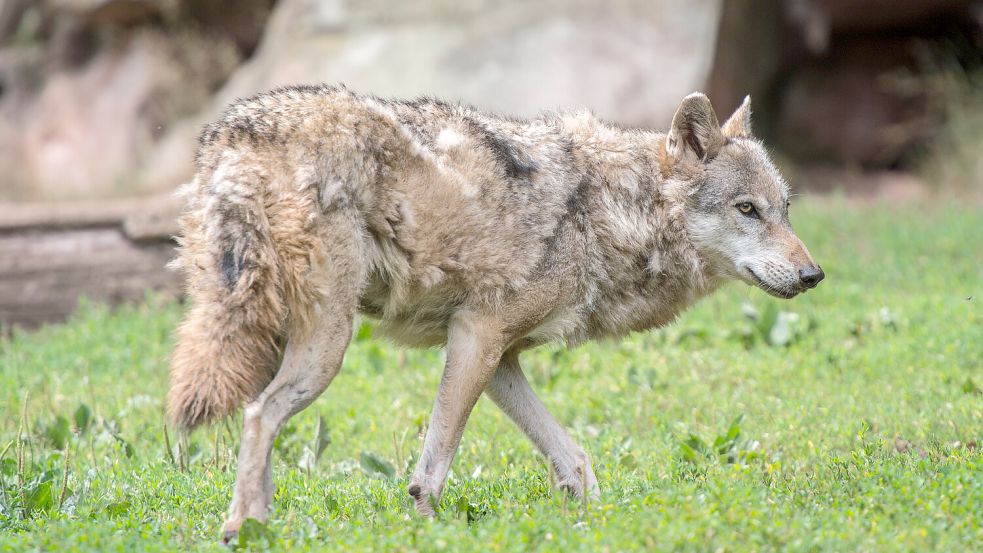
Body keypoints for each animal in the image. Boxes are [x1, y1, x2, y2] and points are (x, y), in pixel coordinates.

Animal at [167, 84, 824, 536]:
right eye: (747, 210)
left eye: (785, 210)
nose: (813, 275)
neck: (607, 214)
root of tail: (235, 132)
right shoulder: (476, 334)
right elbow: (434, 465)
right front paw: (426, 530)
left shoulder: (501, 357)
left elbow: (574, 459)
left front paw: (591, 522)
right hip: (326, 348)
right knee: (259, 415)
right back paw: (243, 528)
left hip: (269, 337)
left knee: (259, 419)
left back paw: (259, 520)